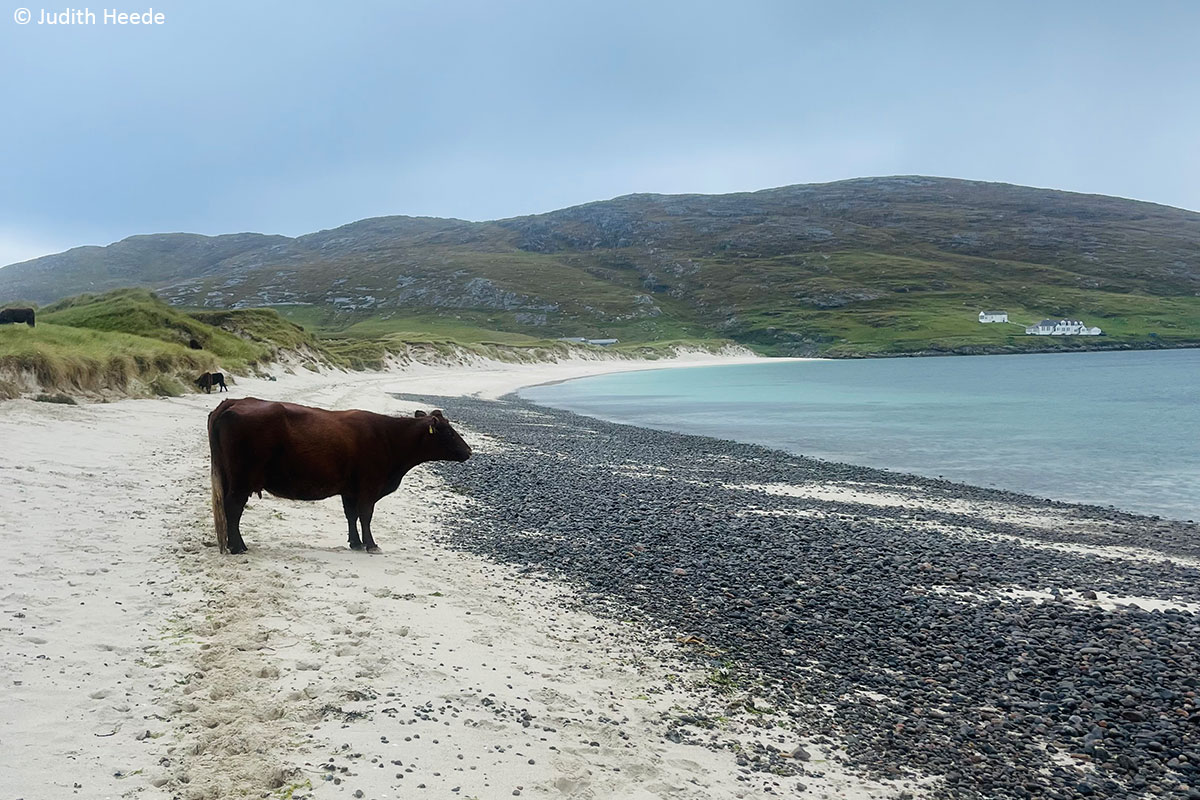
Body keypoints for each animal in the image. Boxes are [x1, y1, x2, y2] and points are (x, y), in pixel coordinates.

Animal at [206, 398, 468, 554]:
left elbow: (351, 515)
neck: (389, 437)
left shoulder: (349, 489)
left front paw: (356, 543)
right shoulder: (368, 486)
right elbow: (365, 515)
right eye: (448, 431)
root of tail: (235, 402)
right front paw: (371, 544)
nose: (469, 451)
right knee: (233, 508)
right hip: (241, 480)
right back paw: (238, 546)